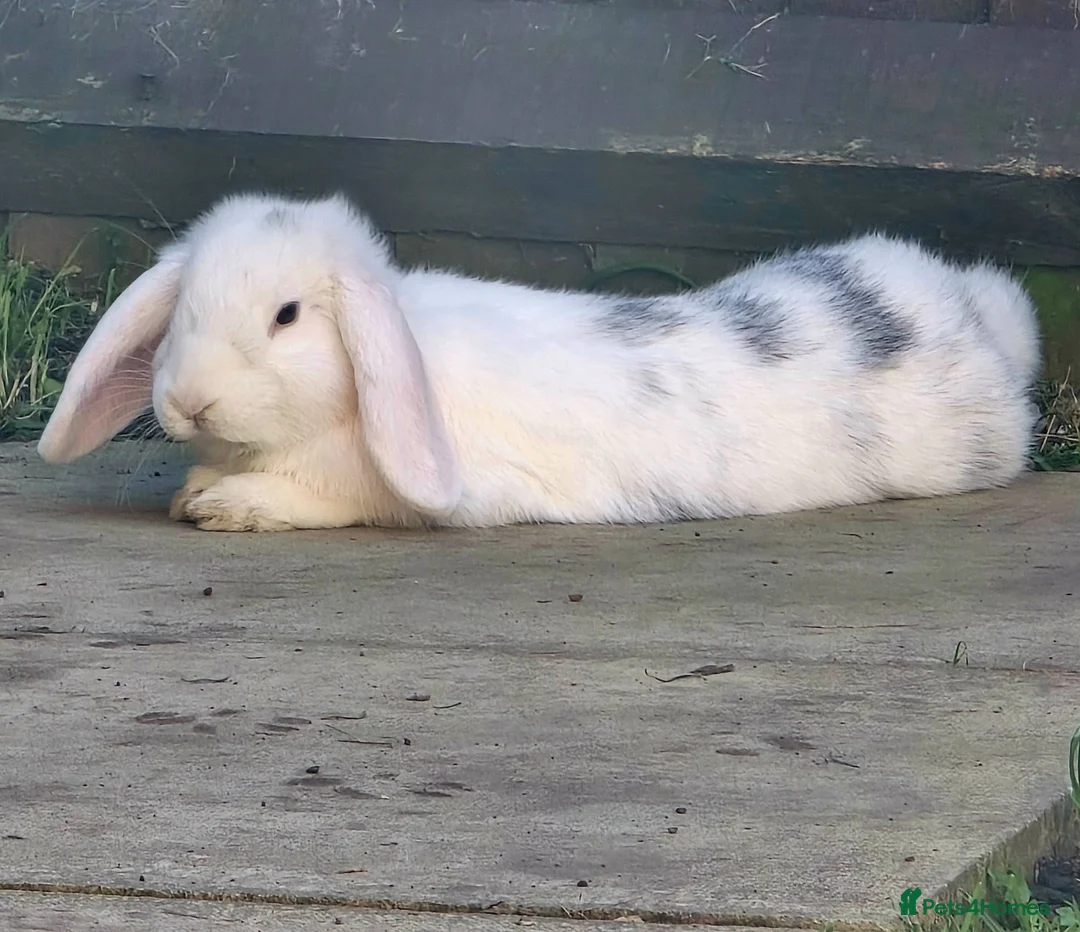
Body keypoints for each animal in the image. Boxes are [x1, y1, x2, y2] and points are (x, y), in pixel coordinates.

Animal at [36, 191, 1040, 532]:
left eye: (286, 316)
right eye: (181, 312)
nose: (188, 404)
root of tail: (980, 317)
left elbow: (334, 500)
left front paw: (226, 504)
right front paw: (198, 488)